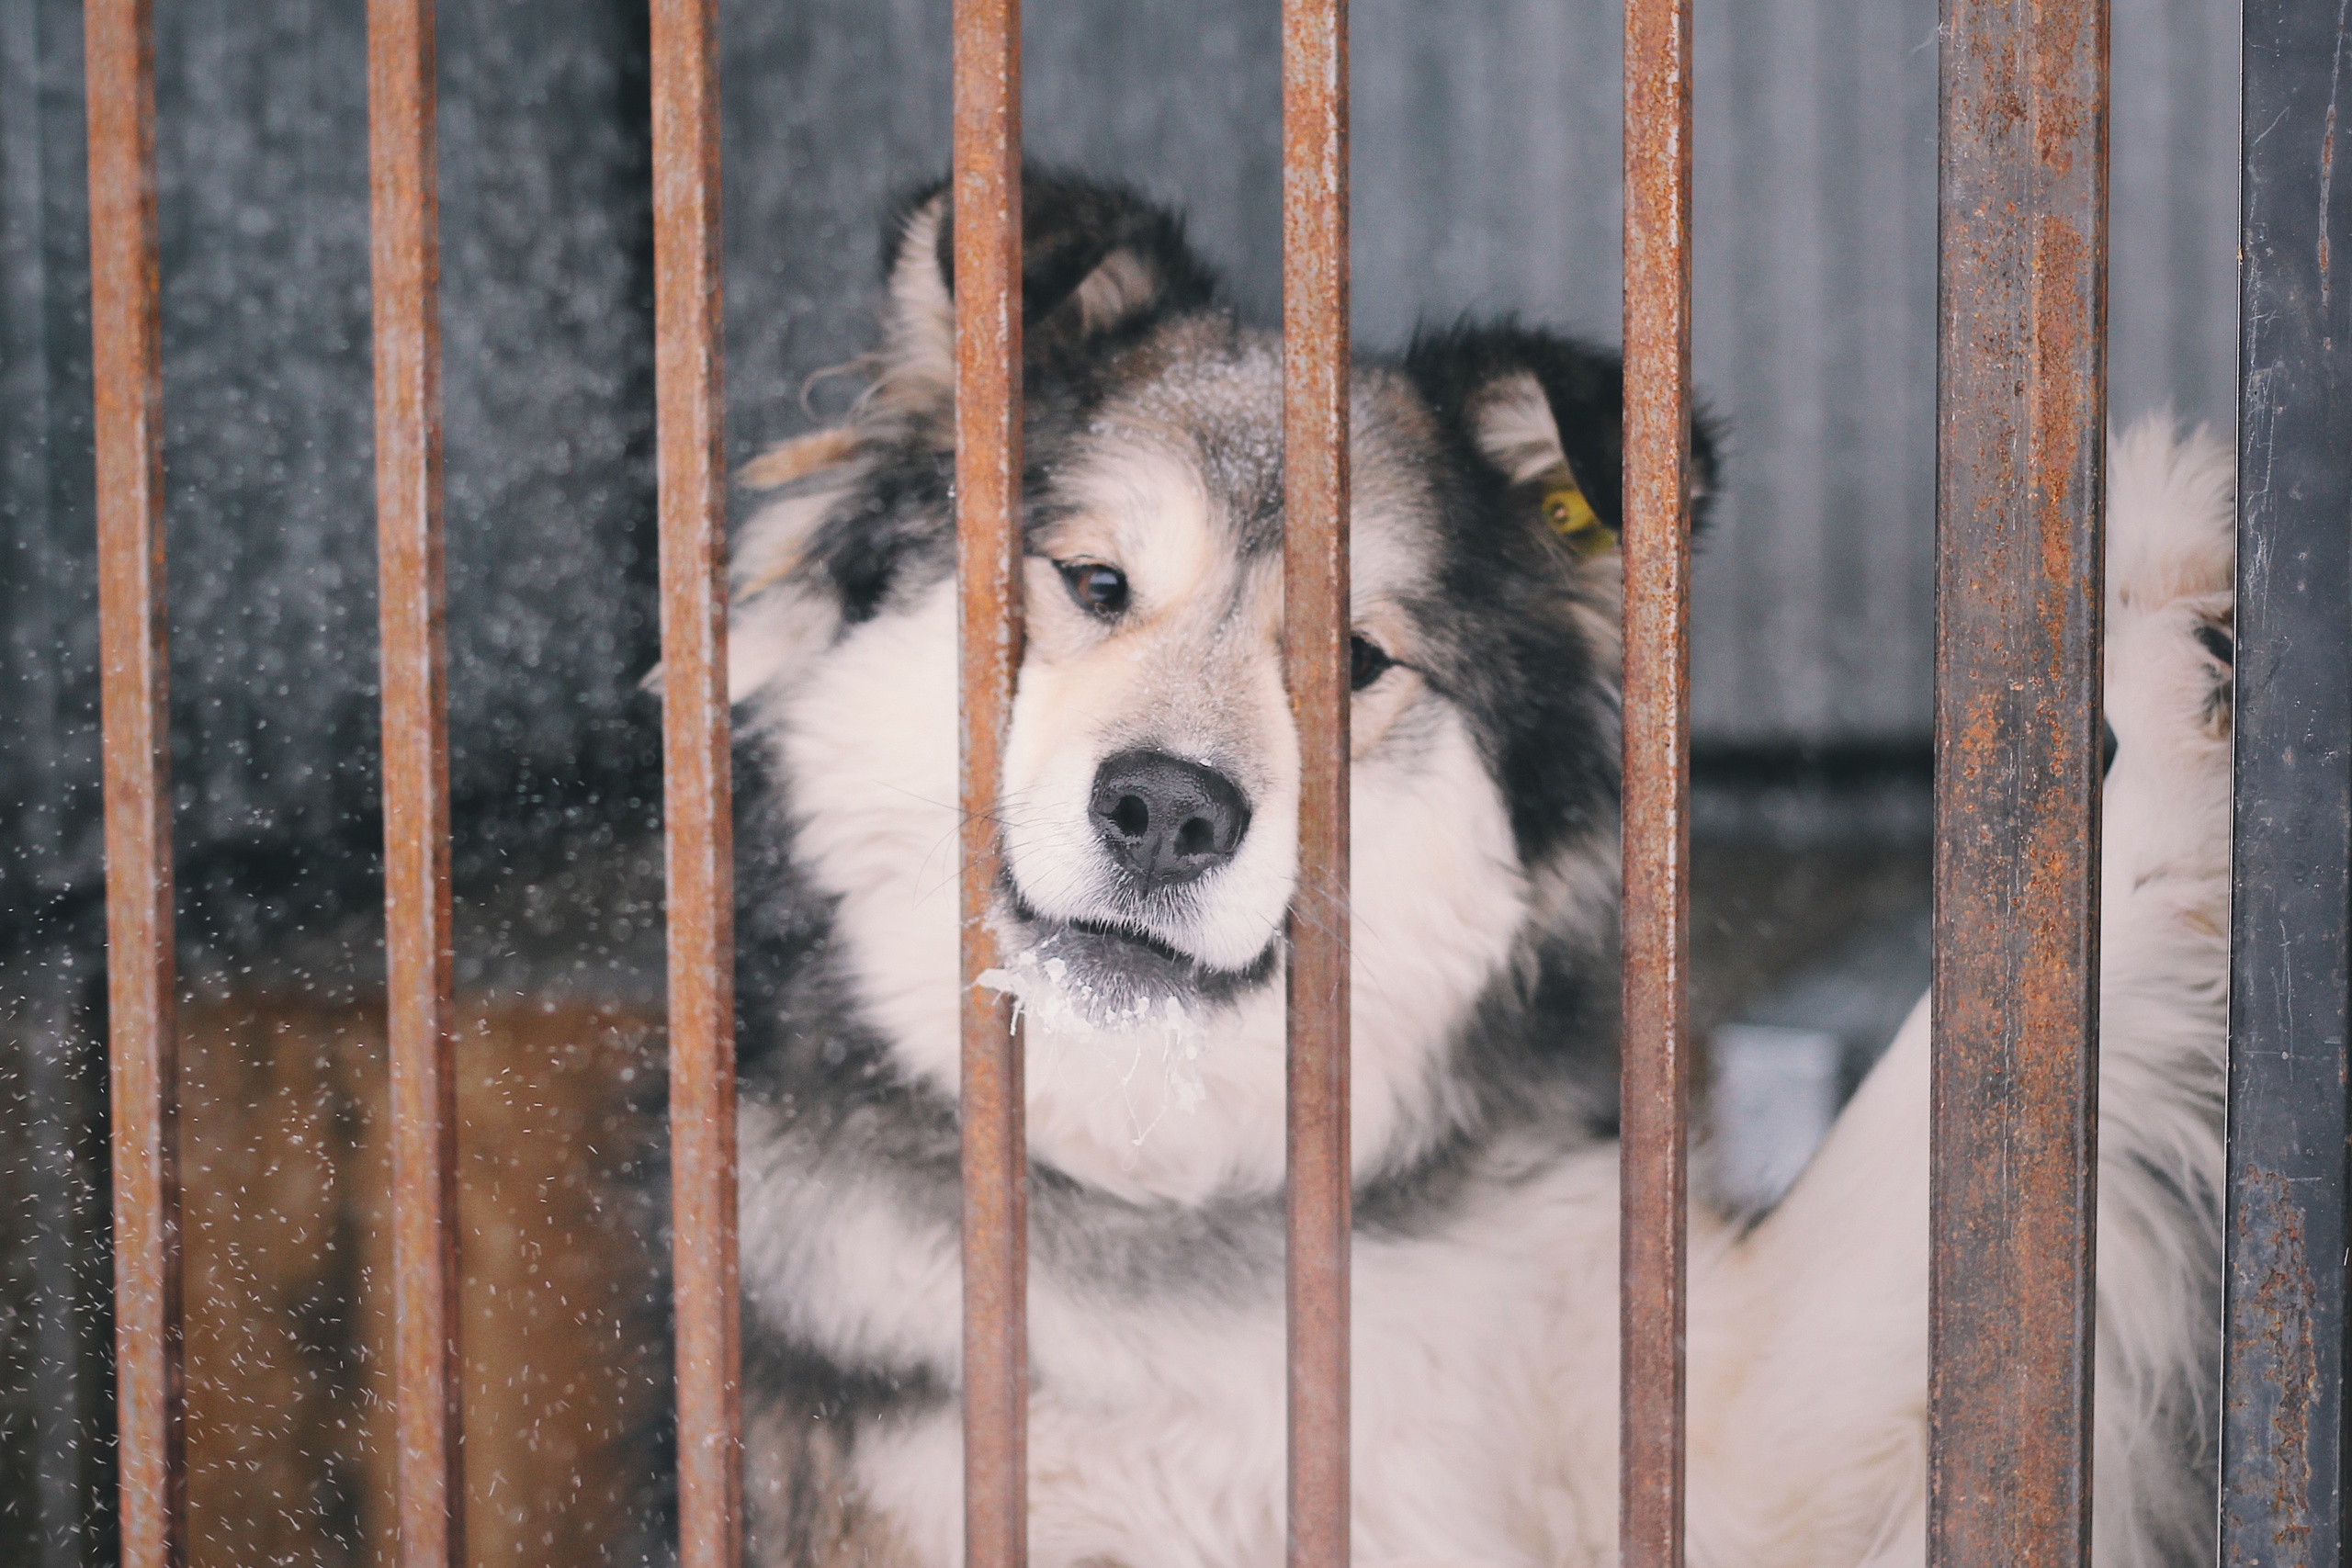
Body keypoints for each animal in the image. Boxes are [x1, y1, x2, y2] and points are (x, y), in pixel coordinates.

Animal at [710, 171, 2220, 1568]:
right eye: (1092, 584)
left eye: (1356, 660)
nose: (1164, 812)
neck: (1165, 1190)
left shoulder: (1694, 1453)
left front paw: (2165, 632)